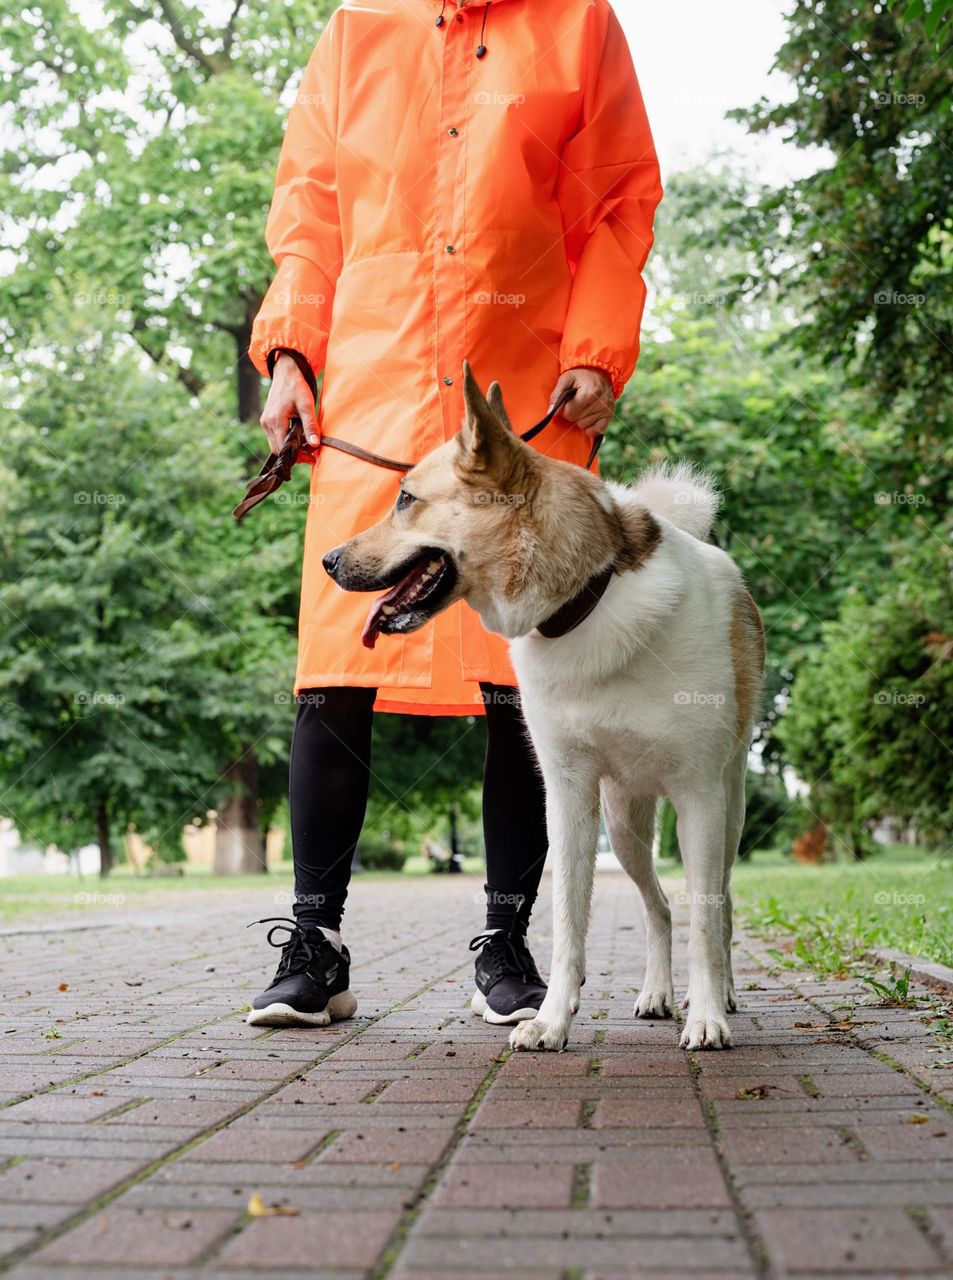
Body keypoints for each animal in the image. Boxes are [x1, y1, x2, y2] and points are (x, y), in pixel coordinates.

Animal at [323, 360, 762, 1049]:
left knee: (715, 905)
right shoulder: (569, 793)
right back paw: (657, 994)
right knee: (660, 907)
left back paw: (718, 996)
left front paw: (709, 1017)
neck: (589, 599)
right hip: (624, 825)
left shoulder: (699, 796)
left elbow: (707, 923)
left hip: (727, 809)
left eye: (406, 500)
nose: (328, 560)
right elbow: (568, 924)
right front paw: (552, 1021)